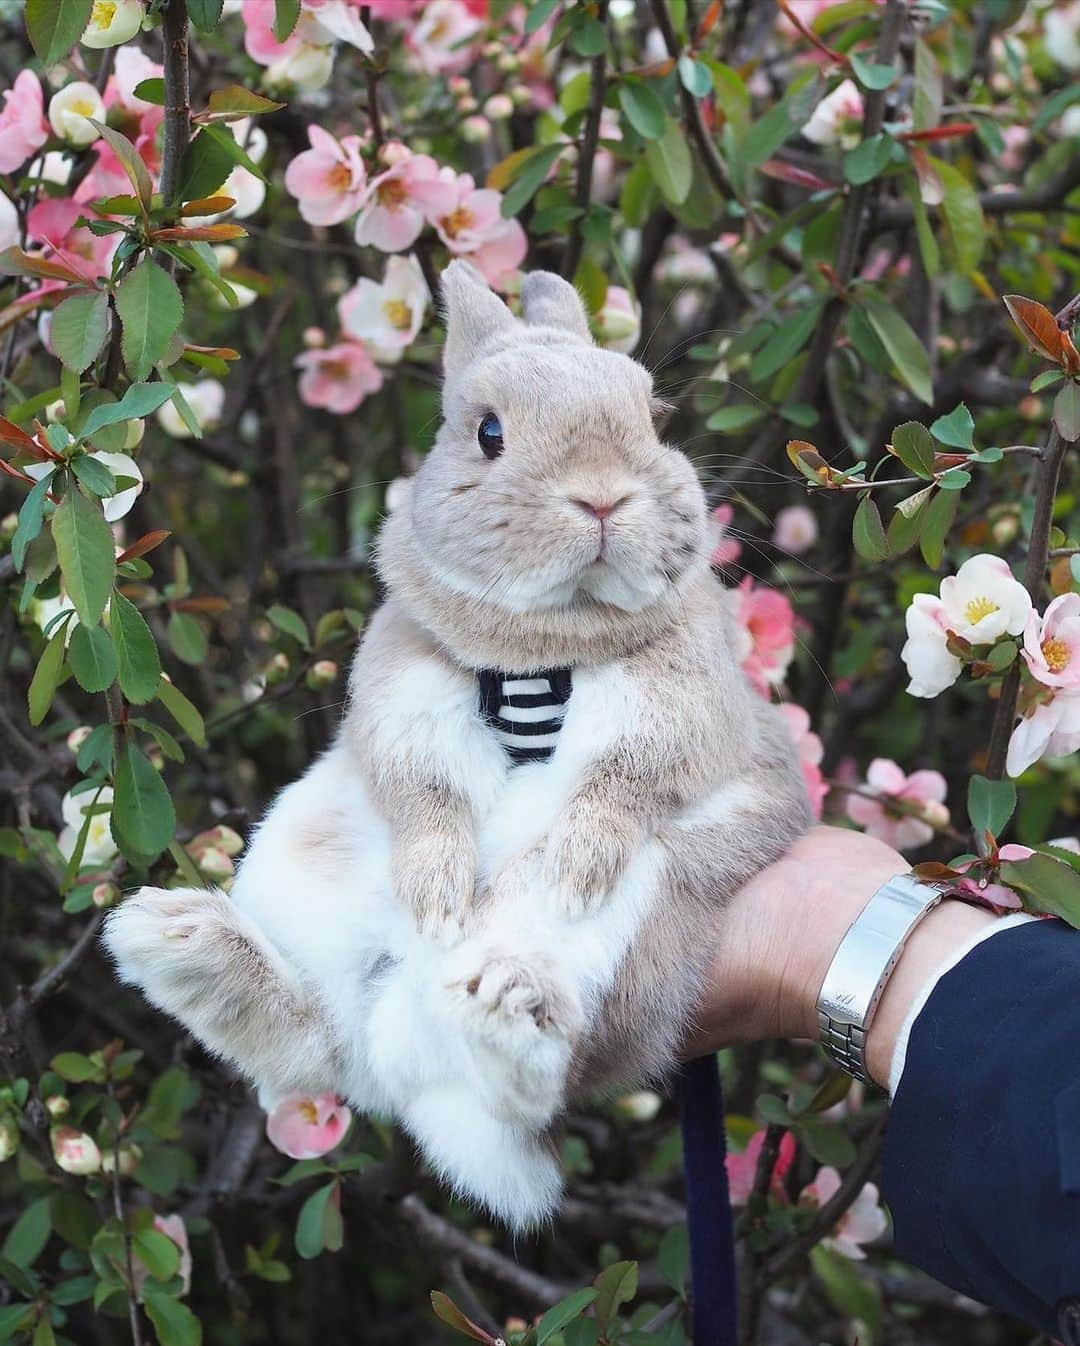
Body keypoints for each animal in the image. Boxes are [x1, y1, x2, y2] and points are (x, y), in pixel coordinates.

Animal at [105, 259, 807, 1232]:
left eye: (652, 417)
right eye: (489, 433)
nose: (601, 495)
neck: (544, 655)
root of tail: (400, 1045)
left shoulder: (688, 711)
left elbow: (621, 784)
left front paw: (567, 865)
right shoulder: (404, 693)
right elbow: (424, 793)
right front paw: (438, 896)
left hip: (649, 924)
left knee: (537, 1077)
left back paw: (506, 1003)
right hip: (301, 866)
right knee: (316, 1046)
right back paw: (176, 940)